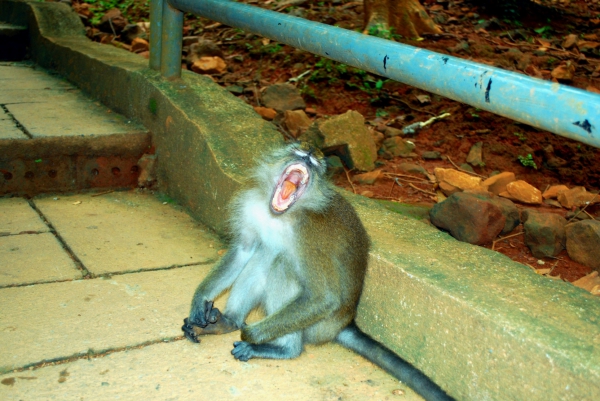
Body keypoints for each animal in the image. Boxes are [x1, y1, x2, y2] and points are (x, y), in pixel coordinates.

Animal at [183, 142, 454, 398]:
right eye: (298, 151)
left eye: (314, 162)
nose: (307, 156)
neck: (281, 215)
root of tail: (345, 322)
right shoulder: (251, 206)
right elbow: (243, 250)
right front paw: (200, 301)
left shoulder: (309, 234)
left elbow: (324, 298)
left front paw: (250, 334)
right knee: (264, 254)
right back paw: (228, 322)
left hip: (319, 325)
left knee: (282, 264)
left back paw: (284, 349)